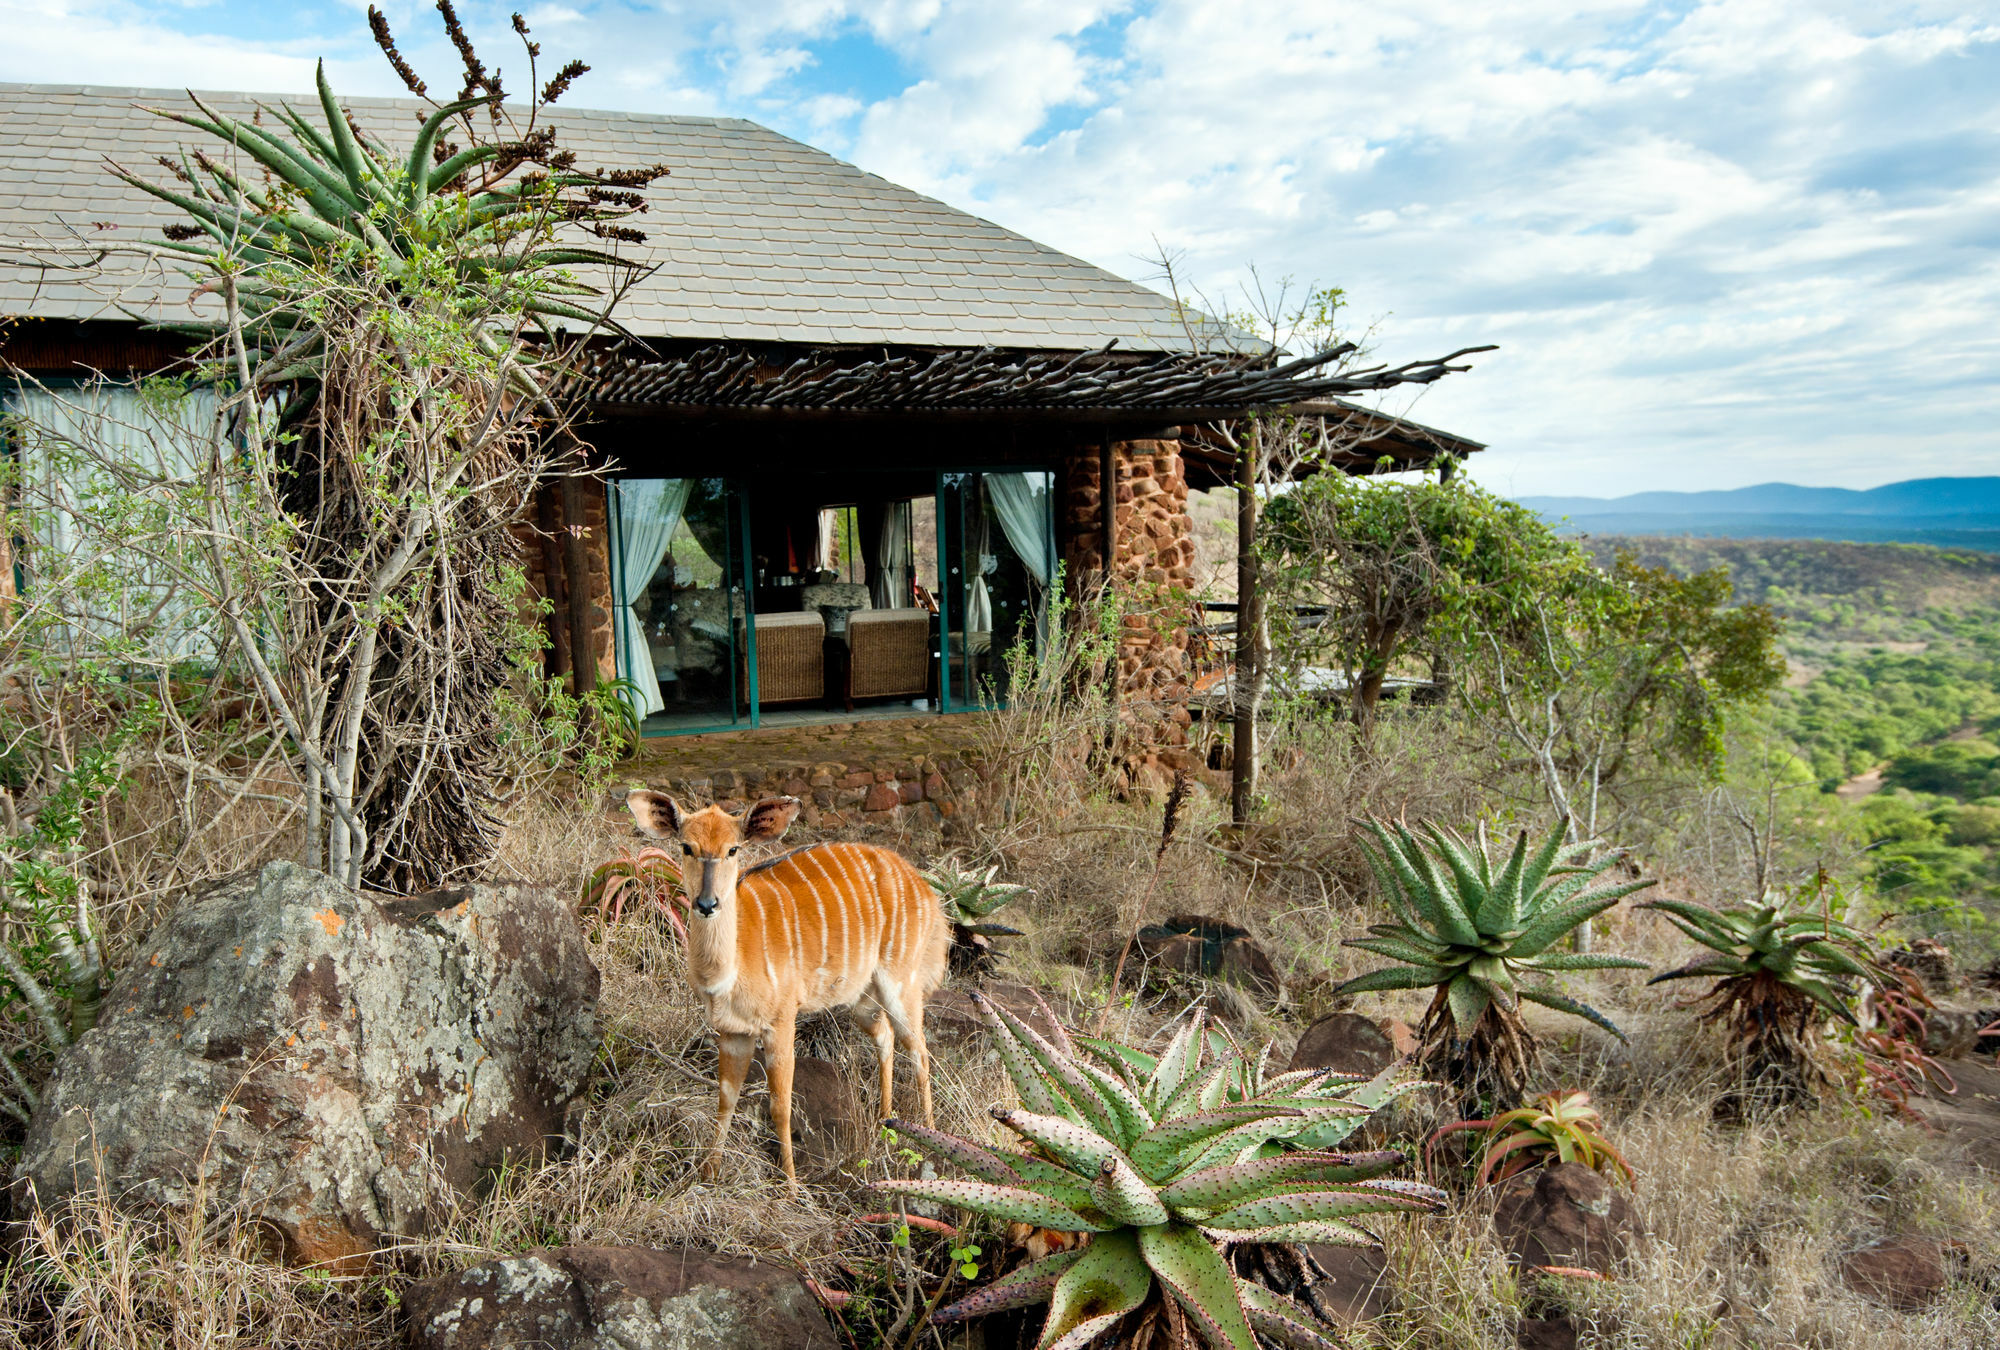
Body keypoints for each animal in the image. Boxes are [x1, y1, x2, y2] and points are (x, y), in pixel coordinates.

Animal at [628, 788, 948, 1192]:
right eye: (686, 847)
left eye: (733, 849)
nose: (706, 903)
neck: (730, 967)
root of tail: (926, 890)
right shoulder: (732, 1032)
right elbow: (725, 1099)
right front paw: (708, 1174)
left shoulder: (780, 1023)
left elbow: (780, 1106)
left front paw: (791, 1188)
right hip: (861, 998)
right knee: (885, 1035)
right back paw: (883, 1121)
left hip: (900, 982)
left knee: (919, 1050)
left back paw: (929, 1138)